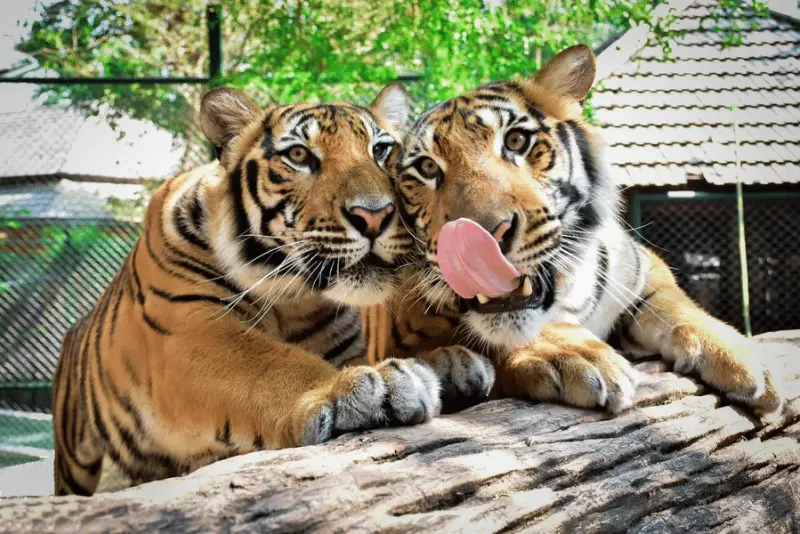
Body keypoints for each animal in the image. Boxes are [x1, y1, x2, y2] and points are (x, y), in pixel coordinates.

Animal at [52, 83, 493, 497]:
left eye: (382, 150)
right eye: (298, 155)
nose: (375, 214)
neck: (294, 300)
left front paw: (450, 363)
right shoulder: (186, 332)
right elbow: (271, 364)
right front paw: (372, 386)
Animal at [377, 44, 785, 416]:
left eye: (516, 141)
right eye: (427, 168)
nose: (478, 243)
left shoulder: (644, 269)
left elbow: (677, 306)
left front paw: (746, 359)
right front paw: (578, 354)